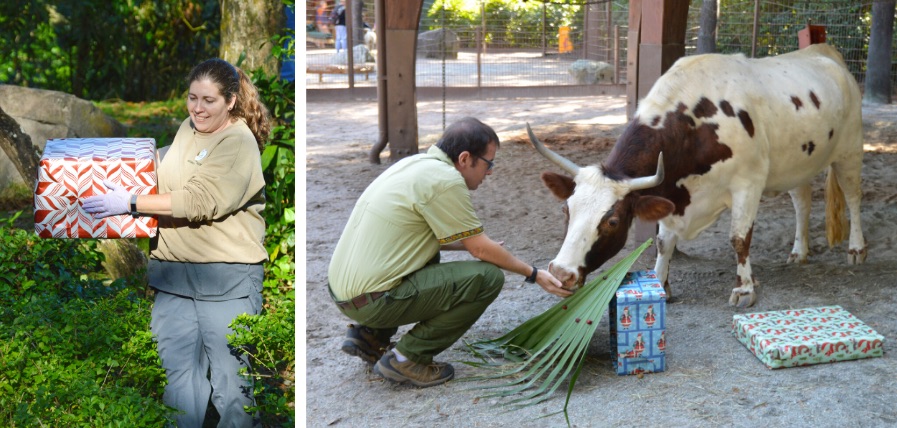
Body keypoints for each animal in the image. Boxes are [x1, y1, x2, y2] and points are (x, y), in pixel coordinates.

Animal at [528, 43, 864, 306]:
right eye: (566, 209)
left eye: (612, 221)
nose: (560, 273)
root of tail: (824, 51)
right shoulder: (671, 193)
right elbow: (663, 242)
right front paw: (659, 283)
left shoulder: (748, 183)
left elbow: (739, 238)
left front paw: (744, 288)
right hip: (797, 164)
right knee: (802, 201)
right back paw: (798, 252)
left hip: (850, 151)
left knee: (853, 198)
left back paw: (857, 249)